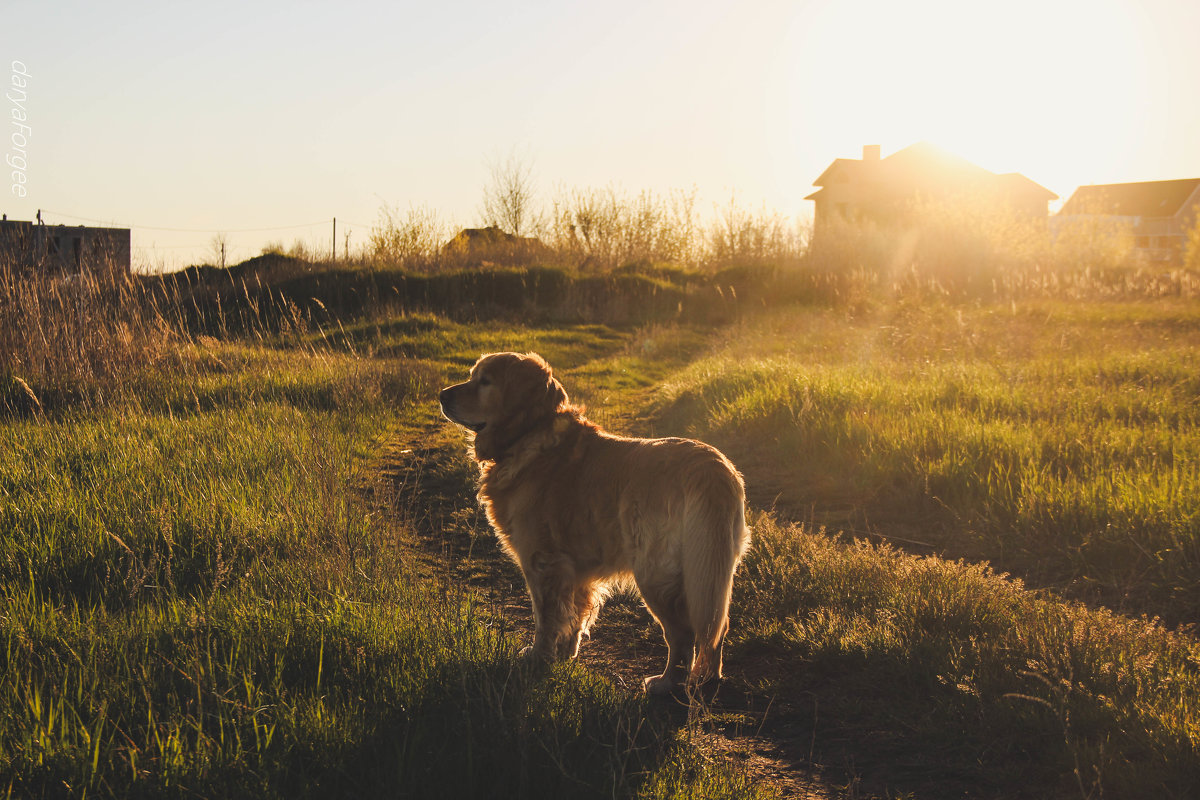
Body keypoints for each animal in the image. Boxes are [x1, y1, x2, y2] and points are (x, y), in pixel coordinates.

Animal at [436, 350, 744, 695]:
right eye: (472, 375)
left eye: (485, 381)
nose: (442, 396)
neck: (529, 436)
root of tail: (712, 469)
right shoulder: (577, 569)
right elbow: (575, 614)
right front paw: (565, 653)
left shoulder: (542, 561)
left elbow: (545, 617)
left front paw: (539, 658)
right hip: (713, 571)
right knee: (717, 627)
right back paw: (708, 678)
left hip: (654, 574)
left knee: (683, 633)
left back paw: (666, 683)